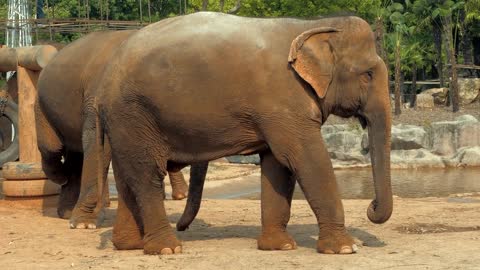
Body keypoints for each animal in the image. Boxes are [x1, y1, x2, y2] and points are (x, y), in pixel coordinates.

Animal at [35, 29, 202, 228]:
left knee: (75, 154)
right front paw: (86, 224)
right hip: (42, 105)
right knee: (53, 148)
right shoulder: (98, 95)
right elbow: (96, 142)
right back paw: (64, 183)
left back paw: (68, 210)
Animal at [95, 12, 392, 255]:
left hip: (126, 121)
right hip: (133, 113)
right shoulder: (284, 101)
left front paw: (280, 247)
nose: (370, 207)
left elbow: (277, 165)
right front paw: (346, 248)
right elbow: (303, 157)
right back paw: (167, 249)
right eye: (368, 74)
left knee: (127, 175)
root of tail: (106, 74)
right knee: (147, 173)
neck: (315, 25)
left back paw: (129, 245)